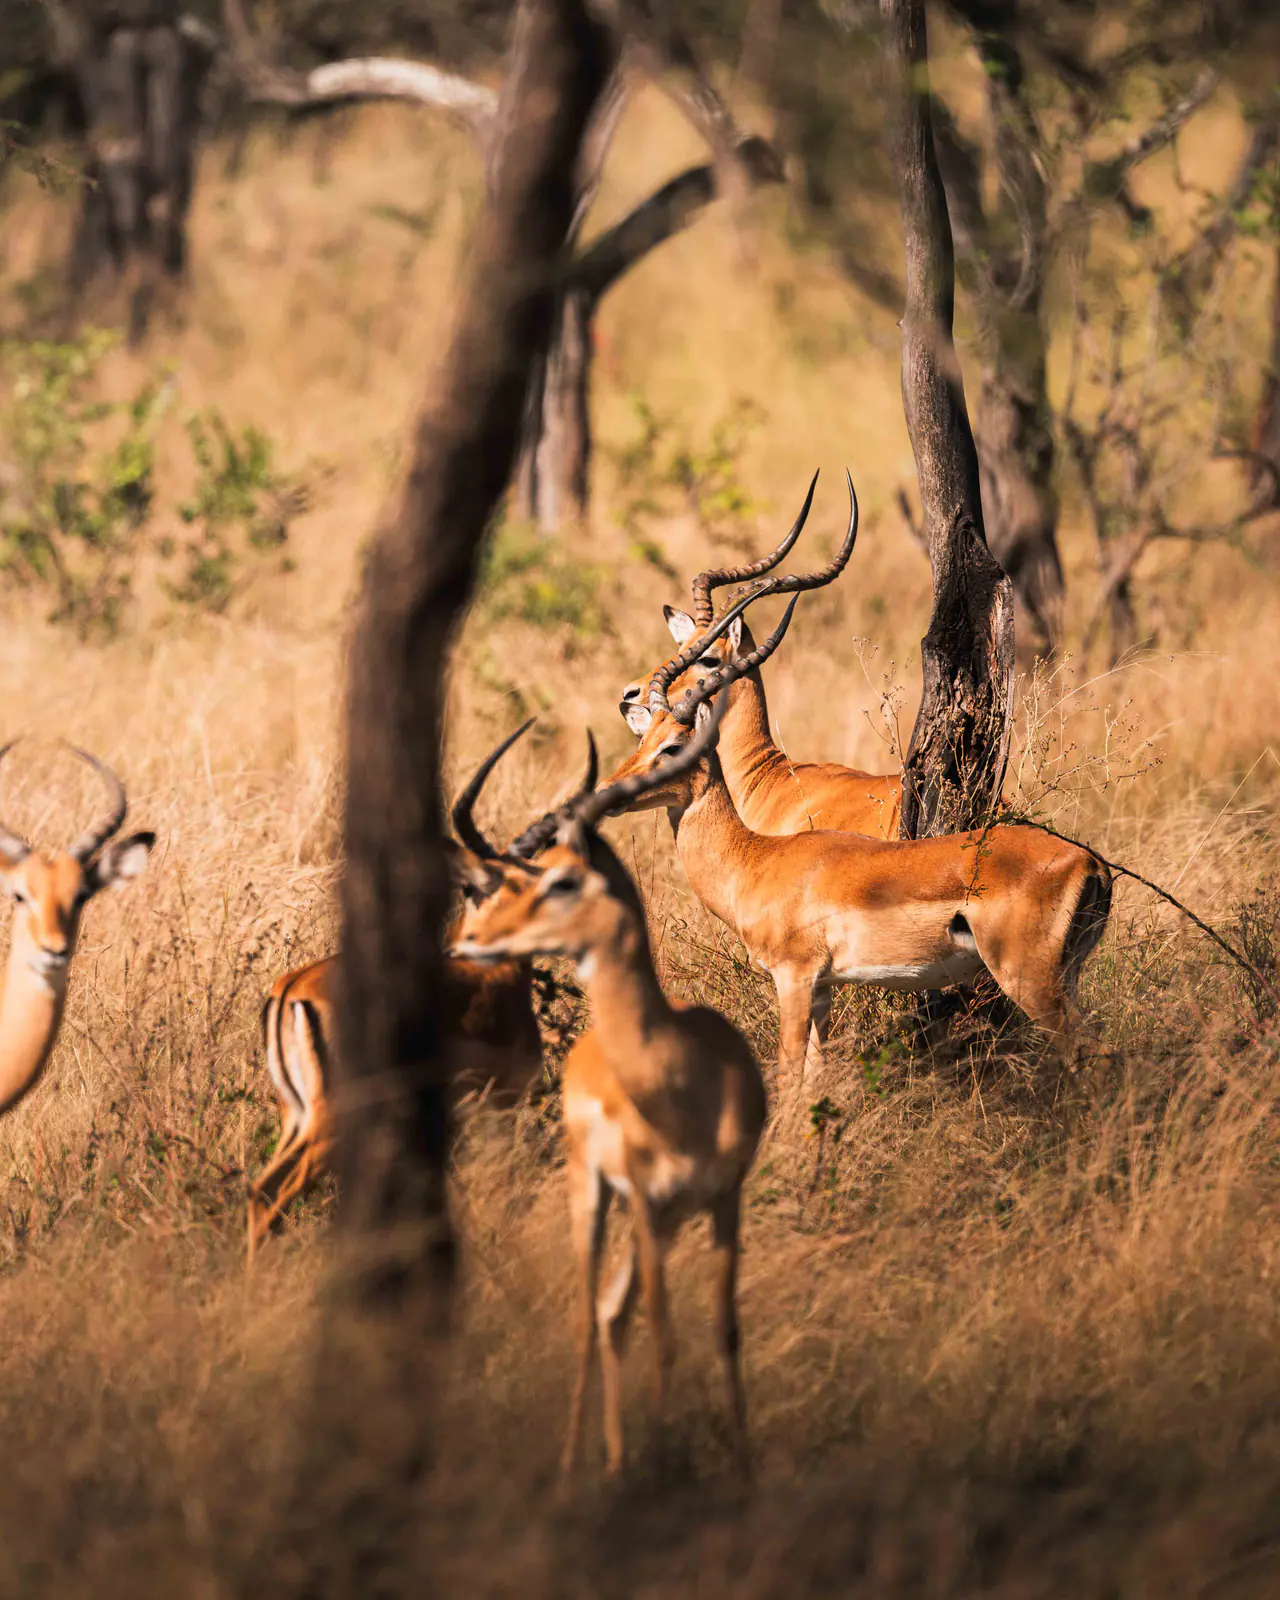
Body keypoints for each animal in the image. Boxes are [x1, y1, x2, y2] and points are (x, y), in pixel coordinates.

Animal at [246, 723, 593, 1258]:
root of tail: (291, 989)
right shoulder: (499, 1105)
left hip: (296, 1114)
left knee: (259, 1191)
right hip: (333, 1120)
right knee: (273, 1193)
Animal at [448, 707, 766, 1479]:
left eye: (565, 882)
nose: (474, 944)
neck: (676, 1080)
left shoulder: (723, 1196)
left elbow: (723, 1330)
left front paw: (741, 1469)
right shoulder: (648, 1203)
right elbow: (665, 1333)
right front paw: (662, 1458)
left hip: (663, 1214)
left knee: (612, 1312)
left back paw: (615, 1457)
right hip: (595, 1198)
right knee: (591, 1318)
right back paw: (579, 1465)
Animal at [607, 590, 1112, 1086]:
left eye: (674, 745)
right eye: (643, 741)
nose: (611, 790)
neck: (755, 857)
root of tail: (1091, 863)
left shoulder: (793, 978)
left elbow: (789, 1076)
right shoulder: (824, 988)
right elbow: (815, 1076)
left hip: (1030, 980)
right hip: (1064, 977)